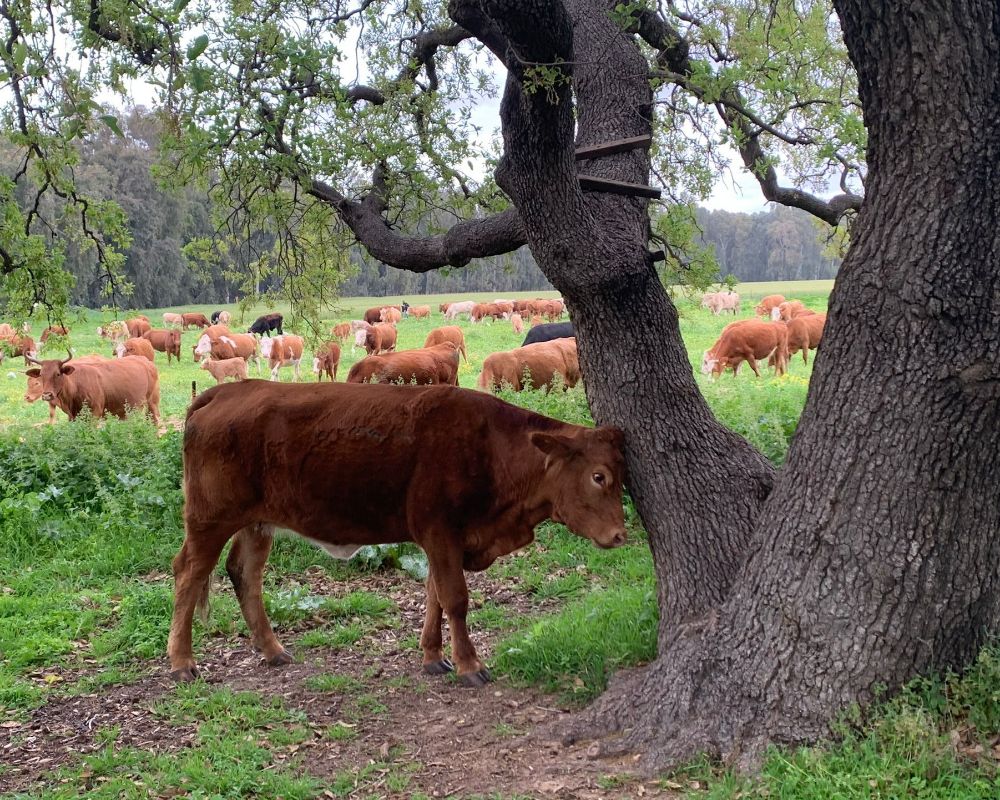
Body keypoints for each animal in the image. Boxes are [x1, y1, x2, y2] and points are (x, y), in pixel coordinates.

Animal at [25, 354, 160, 422]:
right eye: (41, 374)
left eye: (57, 374)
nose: (47, 395)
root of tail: (145, 360)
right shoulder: (72, 416)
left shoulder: (95, 413)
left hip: (152, 403)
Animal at [169, 380, 628, 680]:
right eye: (599, 476)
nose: (621, 535)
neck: (491, 448)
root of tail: (225, 390)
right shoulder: (441, 532)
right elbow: (455, 599)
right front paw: (469, 664)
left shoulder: (443, 541)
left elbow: (435, 595)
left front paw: (433, 657)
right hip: (210, 521)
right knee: (188, 575)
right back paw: (182, 662)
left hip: (256, 523)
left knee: (245, 574)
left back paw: (272, 650)